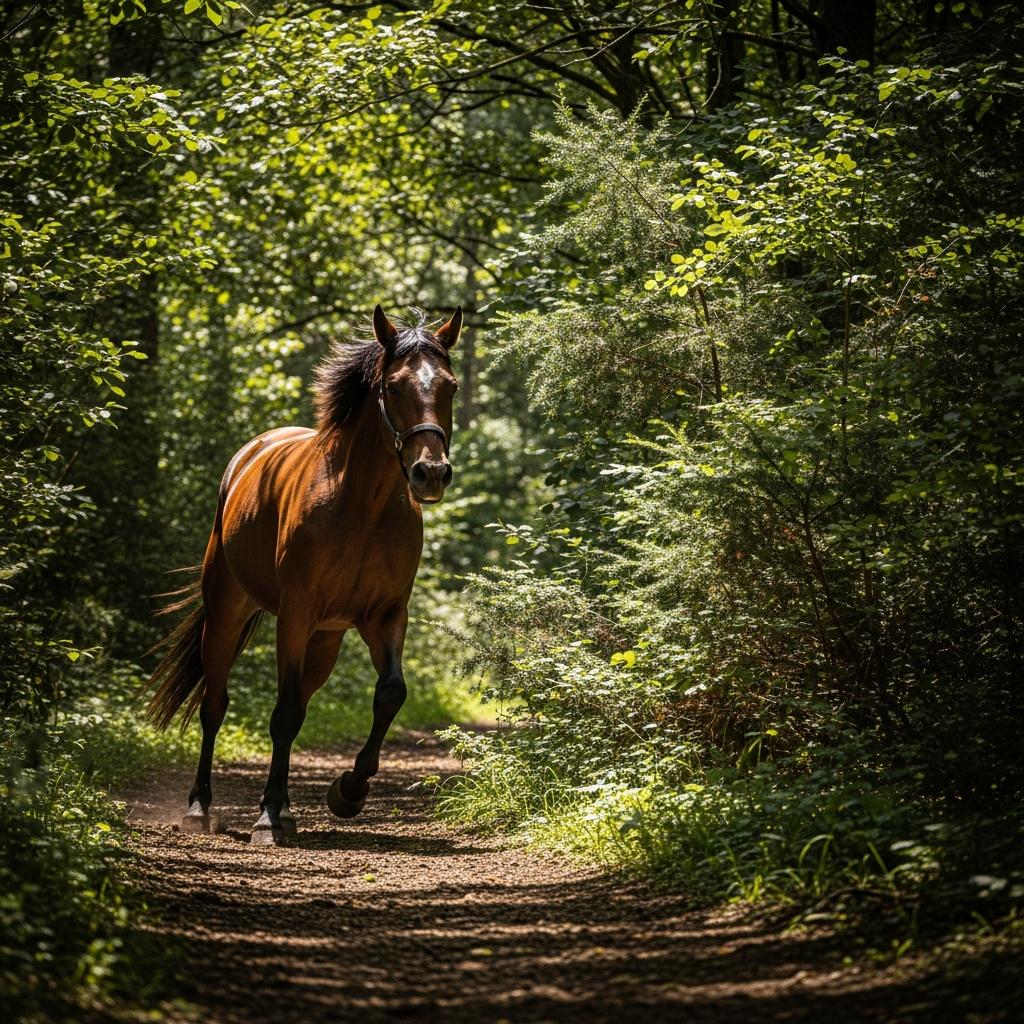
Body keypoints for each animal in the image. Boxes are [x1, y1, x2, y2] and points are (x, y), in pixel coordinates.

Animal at [143, 305, 461, 844]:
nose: (431, 473)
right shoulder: (295, 613)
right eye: (393, 386)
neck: (361, 506)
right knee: (215, 703)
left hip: (325, 639)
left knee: (301, 700)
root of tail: (248, 455)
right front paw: (270, 816)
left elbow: (389, 694)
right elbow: (284, 711)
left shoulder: (386, 616)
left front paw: (348, 791)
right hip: (226, 613)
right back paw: (201, 808)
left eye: (451, 386)